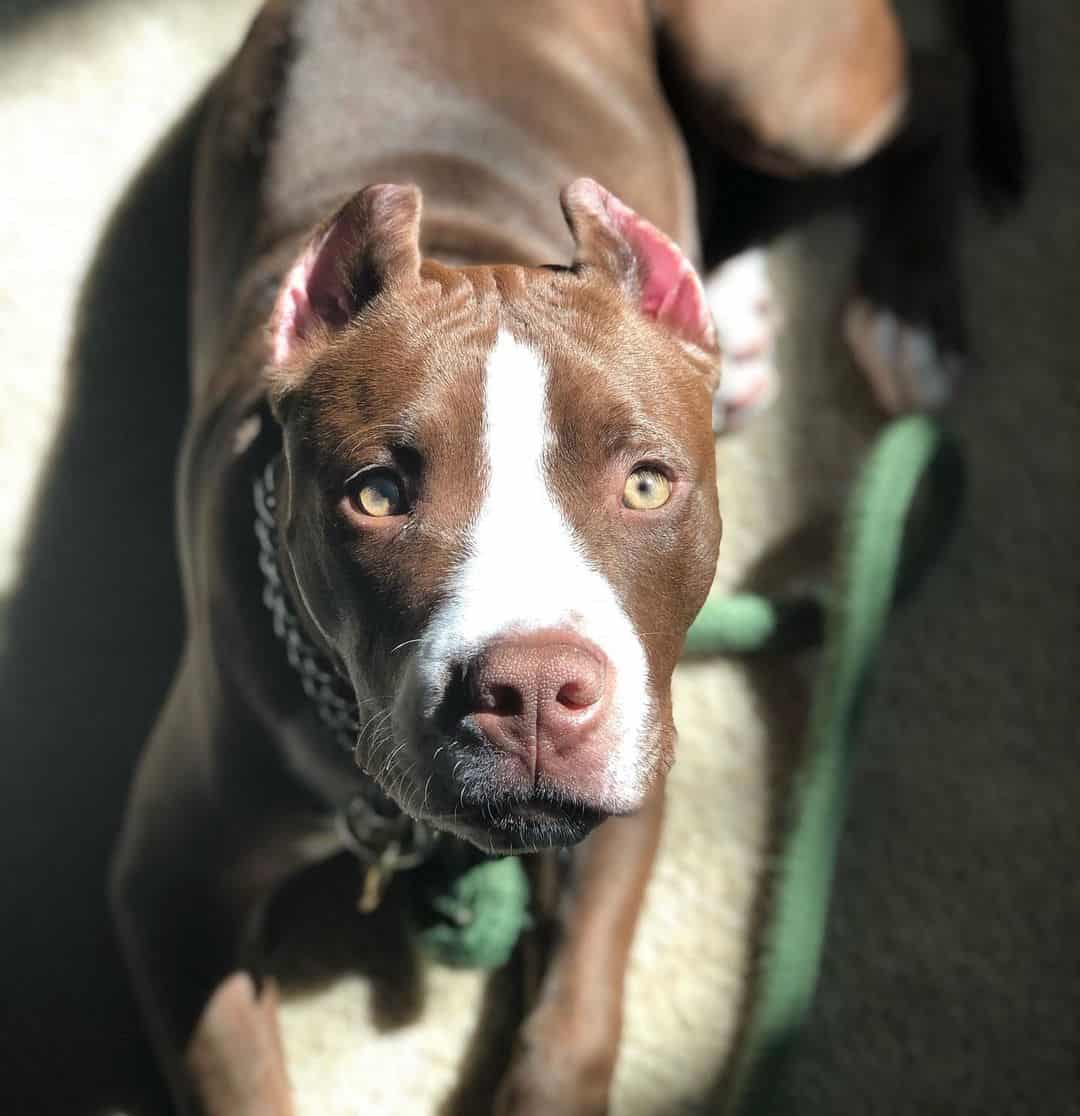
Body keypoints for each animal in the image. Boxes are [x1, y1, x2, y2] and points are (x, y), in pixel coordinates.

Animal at [111, 2, 910, 1116]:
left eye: (648, 486)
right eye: (376, 495)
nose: (533, 693)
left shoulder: (628, 793)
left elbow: (569, 1031)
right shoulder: (171, 884)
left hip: (781, 91)